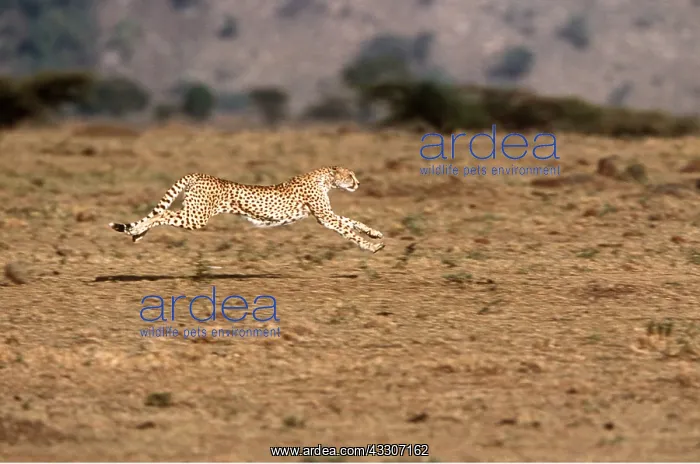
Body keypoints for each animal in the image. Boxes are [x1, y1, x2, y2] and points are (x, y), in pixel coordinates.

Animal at [108, 166, 385, 253]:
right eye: (350, 175)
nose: (358, 183)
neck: (325, 178)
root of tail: (199, 174)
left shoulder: (325, 215)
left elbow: (351, 222)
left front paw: (375, 234)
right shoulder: (325, 217)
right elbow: (348, 230)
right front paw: (371, 247)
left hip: (193, 213)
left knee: (159, 214)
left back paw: (137, 234)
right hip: (197, 216)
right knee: (163, 214)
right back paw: (138, 233)